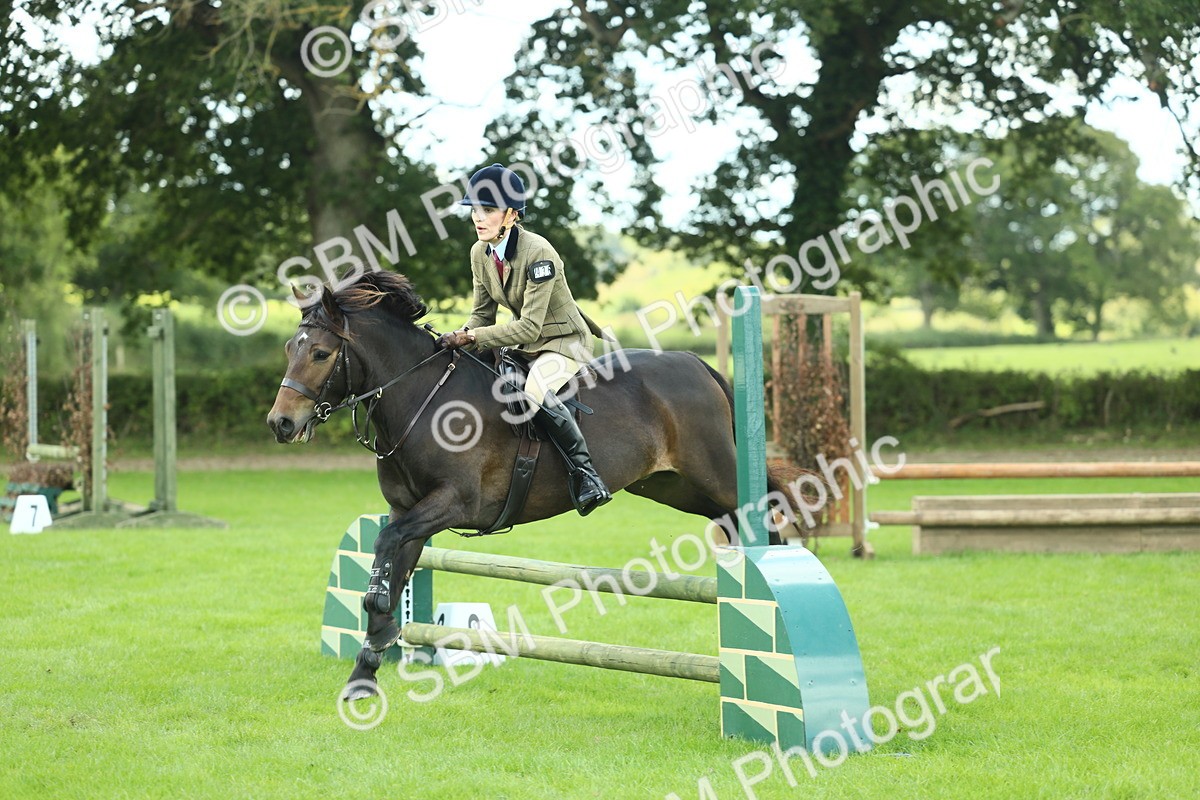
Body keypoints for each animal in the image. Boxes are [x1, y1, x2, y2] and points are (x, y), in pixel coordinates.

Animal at [266, 271, 803, 698]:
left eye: (320, 353)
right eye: (291, 349)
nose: (281, 424)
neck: (423, 397)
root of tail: (696, 363)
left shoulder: (455, 503)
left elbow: (384, 547)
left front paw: (375, 631)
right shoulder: (409, 513)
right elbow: (392, 564)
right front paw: (366, 669)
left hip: (715, 476)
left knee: (765, 521)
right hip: (675, 488)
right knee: (733, 523)